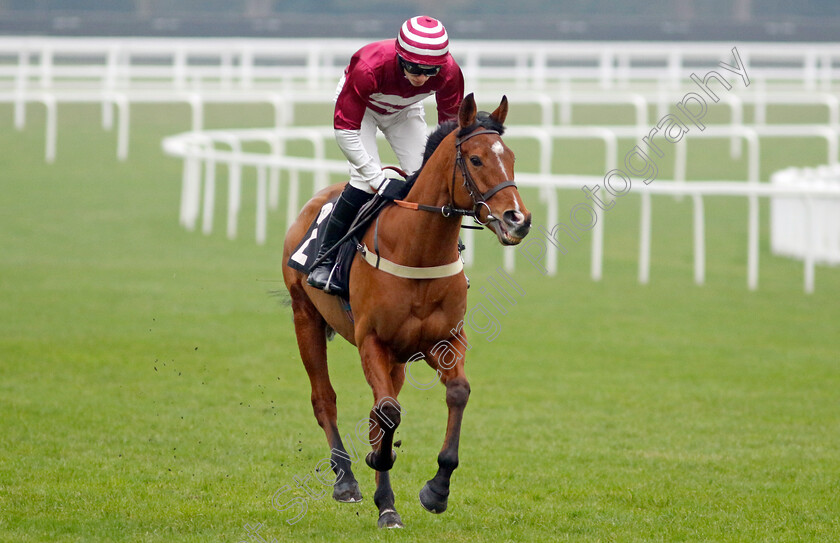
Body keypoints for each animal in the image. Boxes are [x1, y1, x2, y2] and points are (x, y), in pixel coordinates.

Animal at [282, 94, 532, 532]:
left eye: (512, 157)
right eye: (476, 159)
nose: (517, 219)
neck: (418, 249)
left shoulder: (444, 341)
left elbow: (455, 393)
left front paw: (437, 489)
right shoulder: (372, 340)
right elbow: (386, 412)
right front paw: (381, 472)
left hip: (396, 358)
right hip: (305, 316)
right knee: (325, 399)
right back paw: (347, 481)